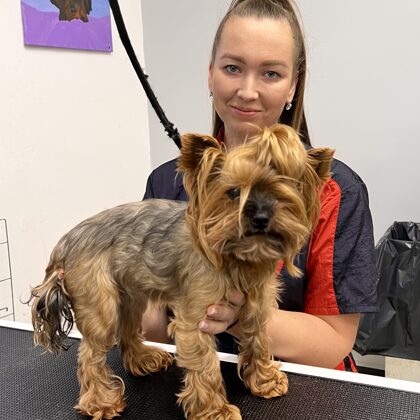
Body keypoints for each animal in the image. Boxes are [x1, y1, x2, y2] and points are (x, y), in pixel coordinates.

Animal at [29, 124, 334, 420]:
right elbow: (206, 363)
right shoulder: (197, 315)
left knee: (127, 329)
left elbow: (258, 340)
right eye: (234, 192)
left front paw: (264, 380)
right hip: (99, 303)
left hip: (130, 294)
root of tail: (65, 243)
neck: (238, 258)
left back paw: (142, 359)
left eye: (281, 194)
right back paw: (101, 402)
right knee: (90, 354)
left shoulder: (257, 302)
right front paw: (215, 410)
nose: (260, 218)